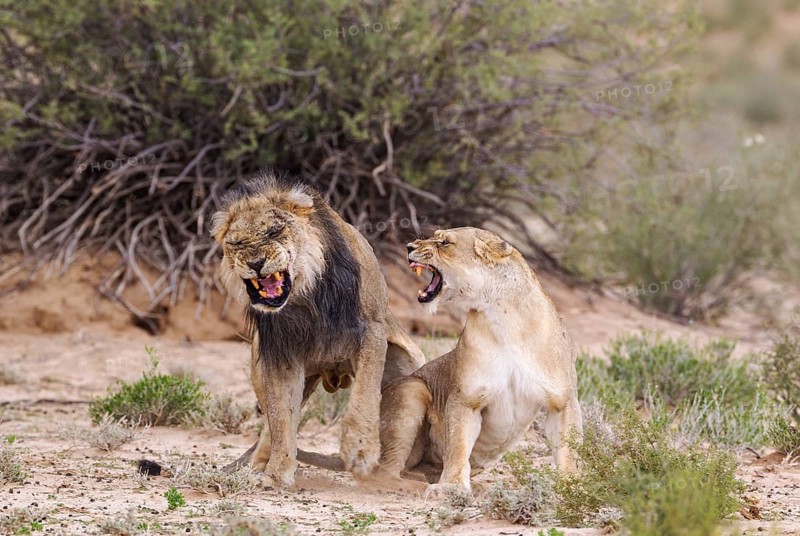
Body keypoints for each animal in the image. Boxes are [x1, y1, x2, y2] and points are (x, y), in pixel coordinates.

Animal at [210, 173, 425, 487]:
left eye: (274, 231)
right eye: (236, 243)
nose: (255, 263)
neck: (304, 294)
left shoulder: (372, 329)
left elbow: (365, 395)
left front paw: (360, 449)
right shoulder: (281, 352)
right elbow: (281, 417)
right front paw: (277, 472)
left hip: (408, 363)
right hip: (259, 364)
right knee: (270, 426)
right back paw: (257, 466)